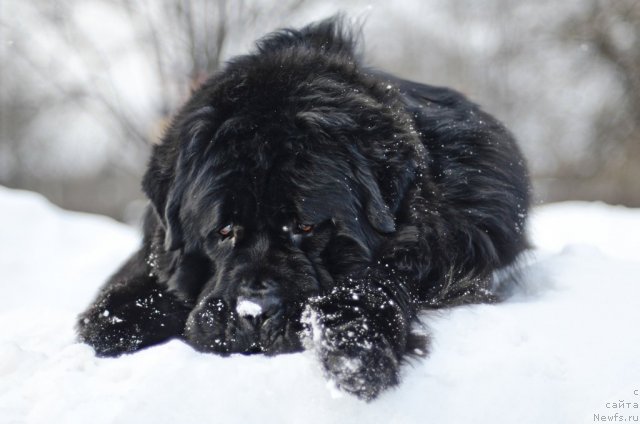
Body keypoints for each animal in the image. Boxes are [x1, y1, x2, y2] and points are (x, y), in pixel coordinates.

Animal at [77, 17, 528, 400]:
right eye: (224, 232)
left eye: (305, 228)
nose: (255, 313)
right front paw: (118, 321)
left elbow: (376, 280)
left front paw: (353, 347)